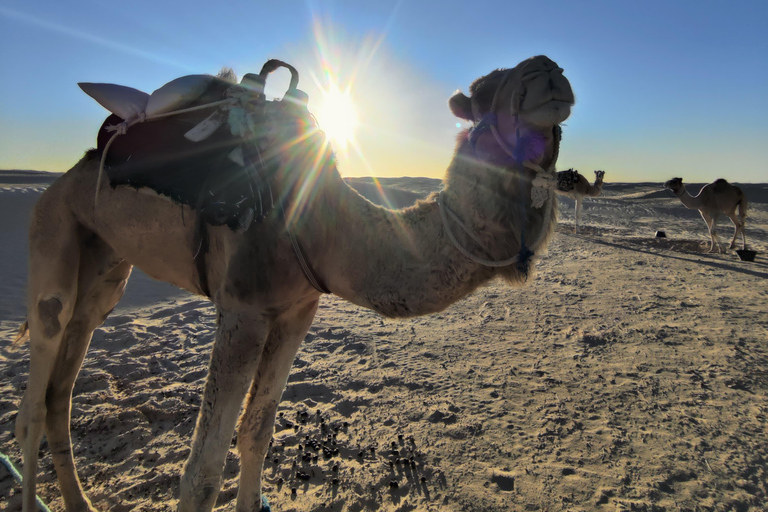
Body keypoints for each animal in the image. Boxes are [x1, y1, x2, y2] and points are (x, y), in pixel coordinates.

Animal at [12, 56, 576, 512]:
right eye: (484, 91)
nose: (549, 71)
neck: (319, 226)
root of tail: (76, 167)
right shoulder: (242, 309)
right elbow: (201, 472)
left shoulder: (297, 310)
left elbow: (257, 434)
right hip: (53, 227)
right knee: (36, 384)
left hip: (105, 262)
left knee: (63, 383)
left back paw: (79, 502)